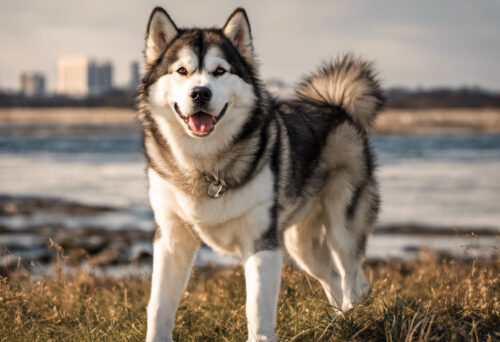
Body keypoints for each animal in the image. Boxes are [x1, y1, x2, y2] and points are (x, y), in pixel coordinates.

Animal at [138, 6, 382, 342]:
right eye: (182, 71)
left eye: (219, 71)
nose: (200, 93)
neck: (204, 163)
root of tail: (337, 108)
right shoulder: (171, 240)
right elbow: (159, 306)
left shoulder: (262, 242)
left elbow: (256, 308)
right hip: (299, 243)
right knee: (333, 277)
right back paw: (337, 324)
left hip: (341, 228)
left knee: (354, 281)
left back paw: (352, 318)